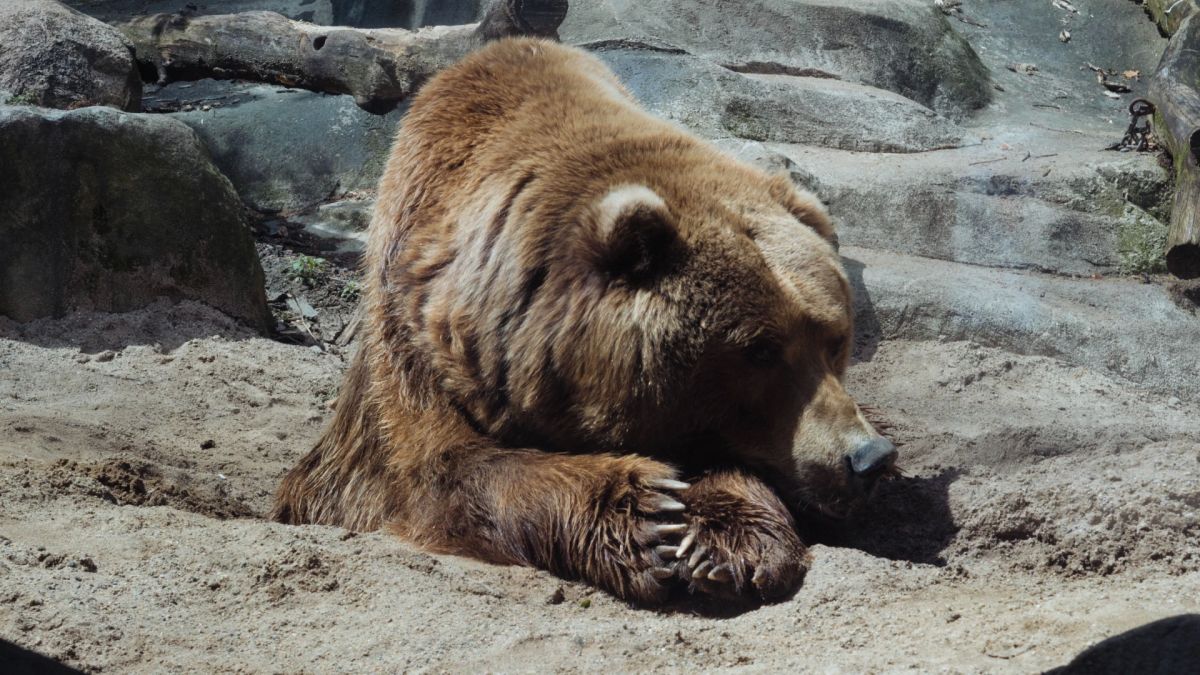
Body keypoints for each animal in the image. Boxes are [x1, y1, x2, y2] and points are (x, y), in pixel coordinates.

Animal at [271, 33, 897, 605]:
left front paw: (723, 541)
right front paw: (648, 514)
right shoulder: (414, 339)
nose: (868, 458)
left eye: (834, 338)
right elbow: (436, 469)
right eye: (761, 350)